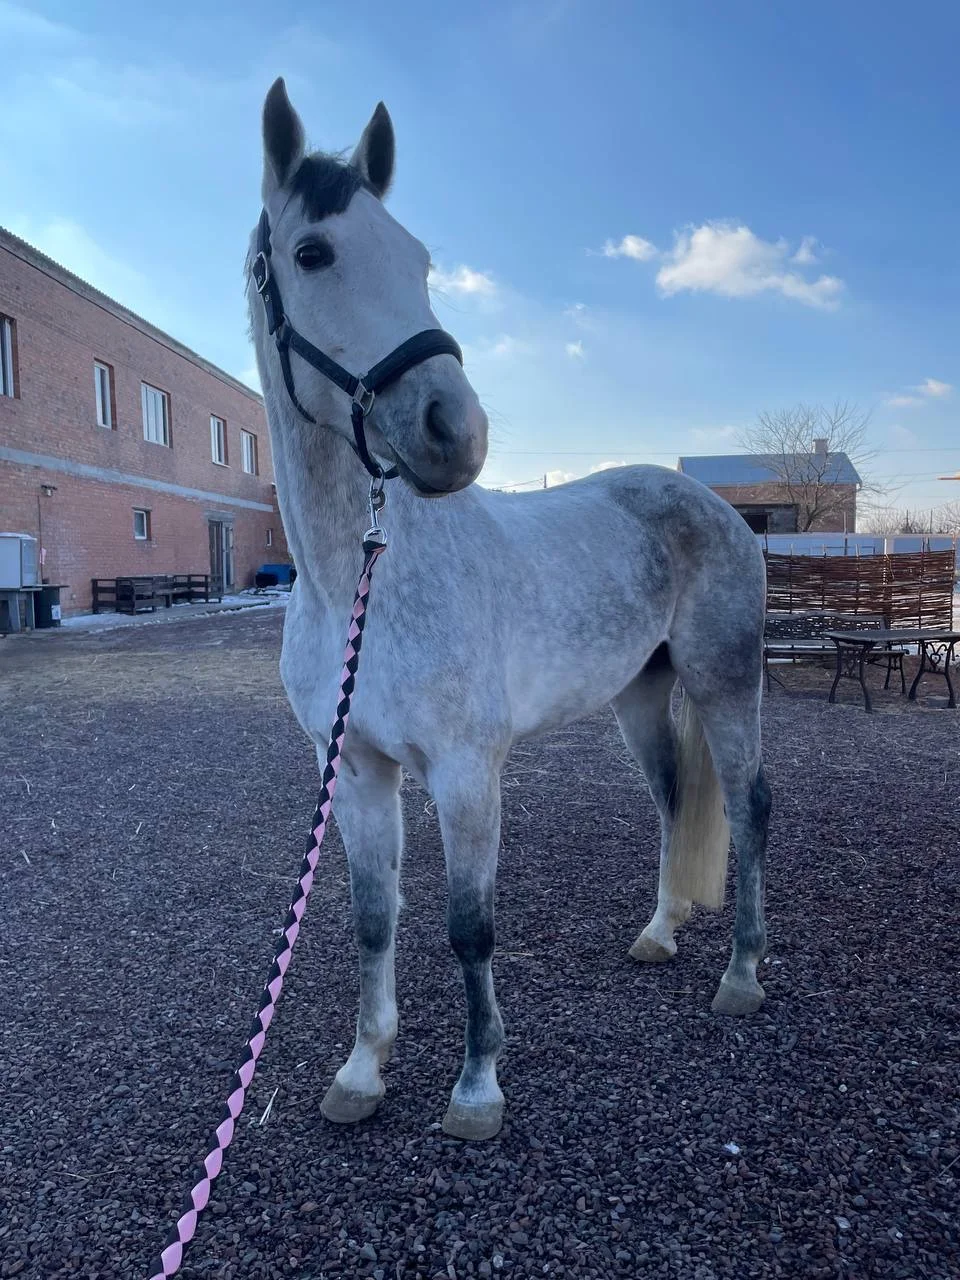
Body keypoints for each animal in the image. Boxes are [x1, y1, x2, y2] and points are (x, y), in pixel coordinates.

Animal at [246, 78, 771, 1142]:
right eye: (313, 253)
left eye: (419, 259)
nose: (456, 430)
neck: (359, 584)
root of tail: (712, 508)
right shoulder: (355, 772)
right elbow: (373, 918)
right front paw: (362, 1072)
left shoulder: (465, 771)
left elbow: (468, 925)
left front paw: (477, 1088)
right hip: (641, 698)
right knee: (674, 803)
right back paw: (659, 934)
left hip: (725, 685)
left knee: (746, 810)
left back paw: (742, 978)